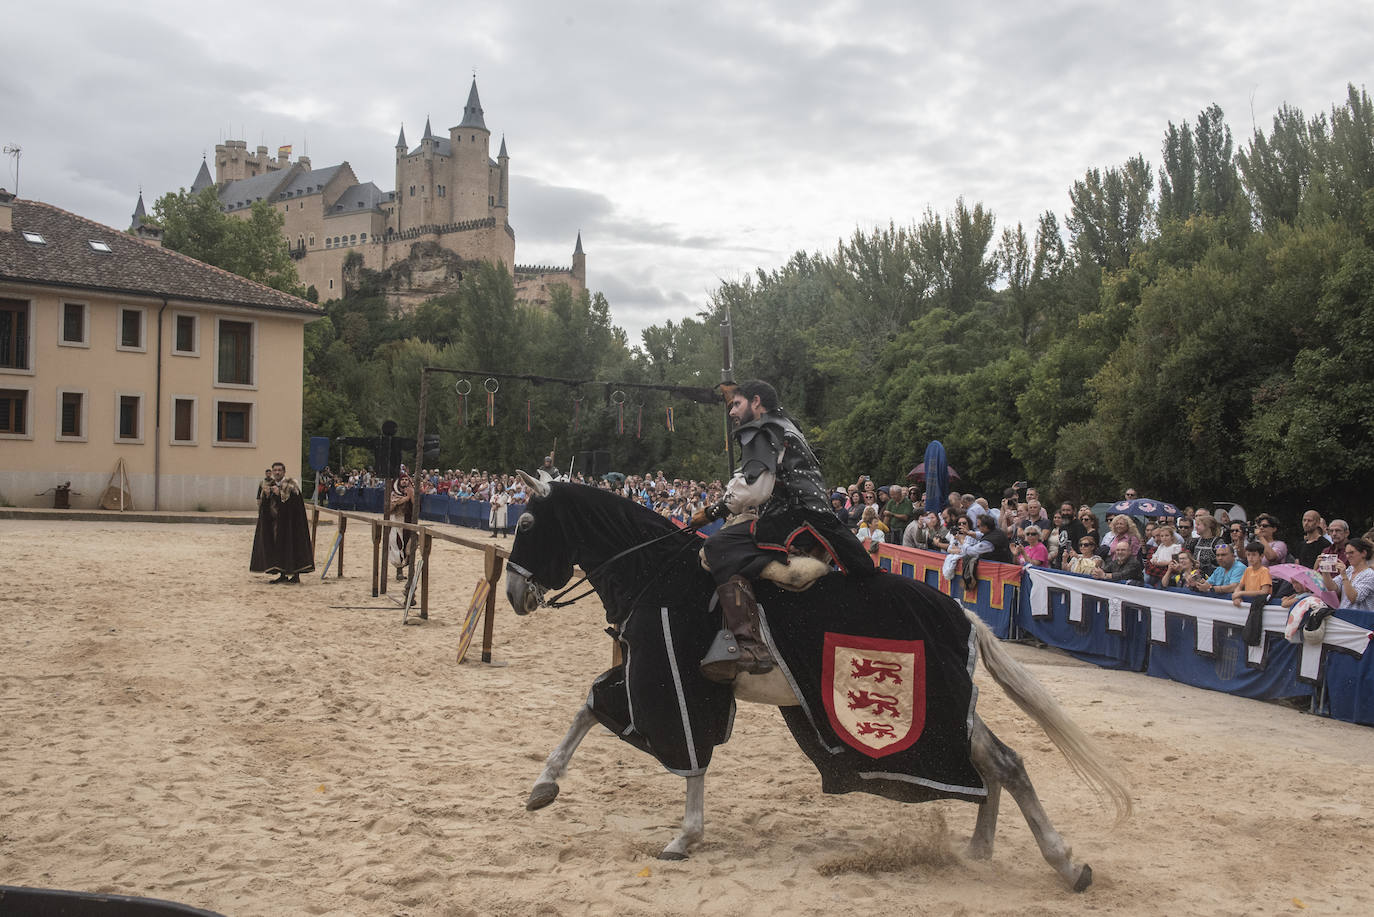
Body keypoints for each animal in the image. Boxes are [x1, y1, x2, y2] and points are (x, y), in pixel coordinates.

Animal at [502, 478, 1126, 890]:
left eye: (527, 524)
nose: (512, 594)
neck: (655, 571)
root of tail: (965, 614)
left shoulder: (671, 680)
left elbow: (689, 754)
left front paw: (685, 837)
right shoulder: (639, 674)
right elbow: (589, 705)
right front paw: (543, 786)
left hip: (934, 709)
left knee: (997, 765)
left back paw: (1062, 862)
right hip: (952, 711)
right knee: (1001, 762)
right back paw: (996, 852)